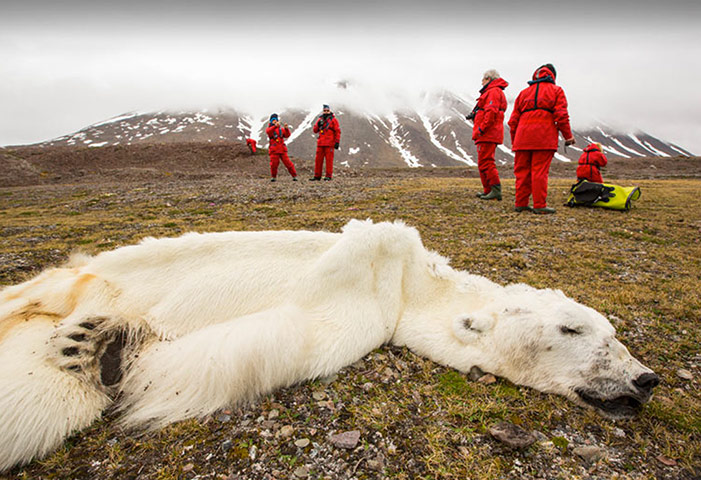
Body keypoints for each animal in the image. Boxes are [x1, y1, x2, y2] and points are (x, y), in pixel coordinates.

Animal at [0, 219, 659, 472]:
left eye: (613, 334)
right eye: (574, 329)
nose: (646, 378)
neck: (409, 285)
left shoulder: (364, 317)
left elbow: (266, 340)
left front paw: (112, 350)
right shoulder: (370, 277)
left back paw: (88, 344)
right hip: (89, 273)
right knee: (41, 292)